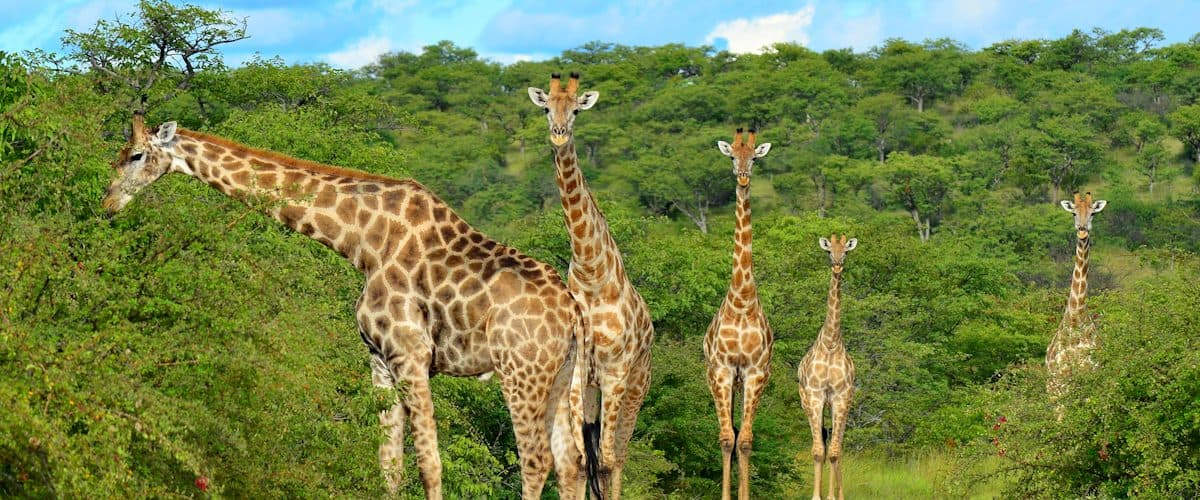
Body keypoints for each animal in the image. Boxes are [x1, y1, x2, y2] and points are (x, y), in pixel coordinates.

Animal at [101, 113, 591, 500]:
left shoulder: (411, 354)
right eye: (120, 155)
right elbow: (389, 467)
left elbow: (429, 464)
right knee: (571, 464)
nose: (106, 204)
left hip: (519, 371)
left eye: (136, 156)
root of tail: (573, 314)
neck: (363, 243)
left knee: (535, 460)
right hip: (559, 377)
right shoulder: (379, 358)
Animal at [528, 73, 655, 499]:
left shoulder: (617, 371)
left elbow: (608, 461)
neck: (592, 273)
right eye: (546, 107)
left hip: (637, 385)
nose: (558, 134)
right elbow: (582, 460)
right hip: (590, 389)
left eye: (577, 110)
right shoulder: (578, 375)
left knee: (620, 455)